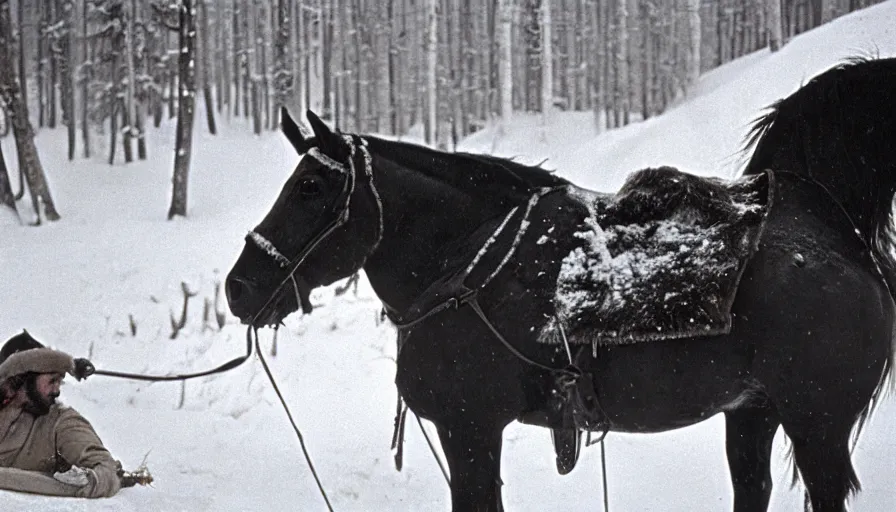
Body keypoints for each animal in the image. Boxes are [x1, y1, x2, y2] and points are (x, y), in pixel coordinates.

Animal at [228, 57, 892, 512]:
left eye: (310, 187)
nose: (239, 287)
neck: (467, 263)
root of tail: (830, 225)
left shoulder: (469, 430)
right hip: (752, 414)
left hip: (817, 428)